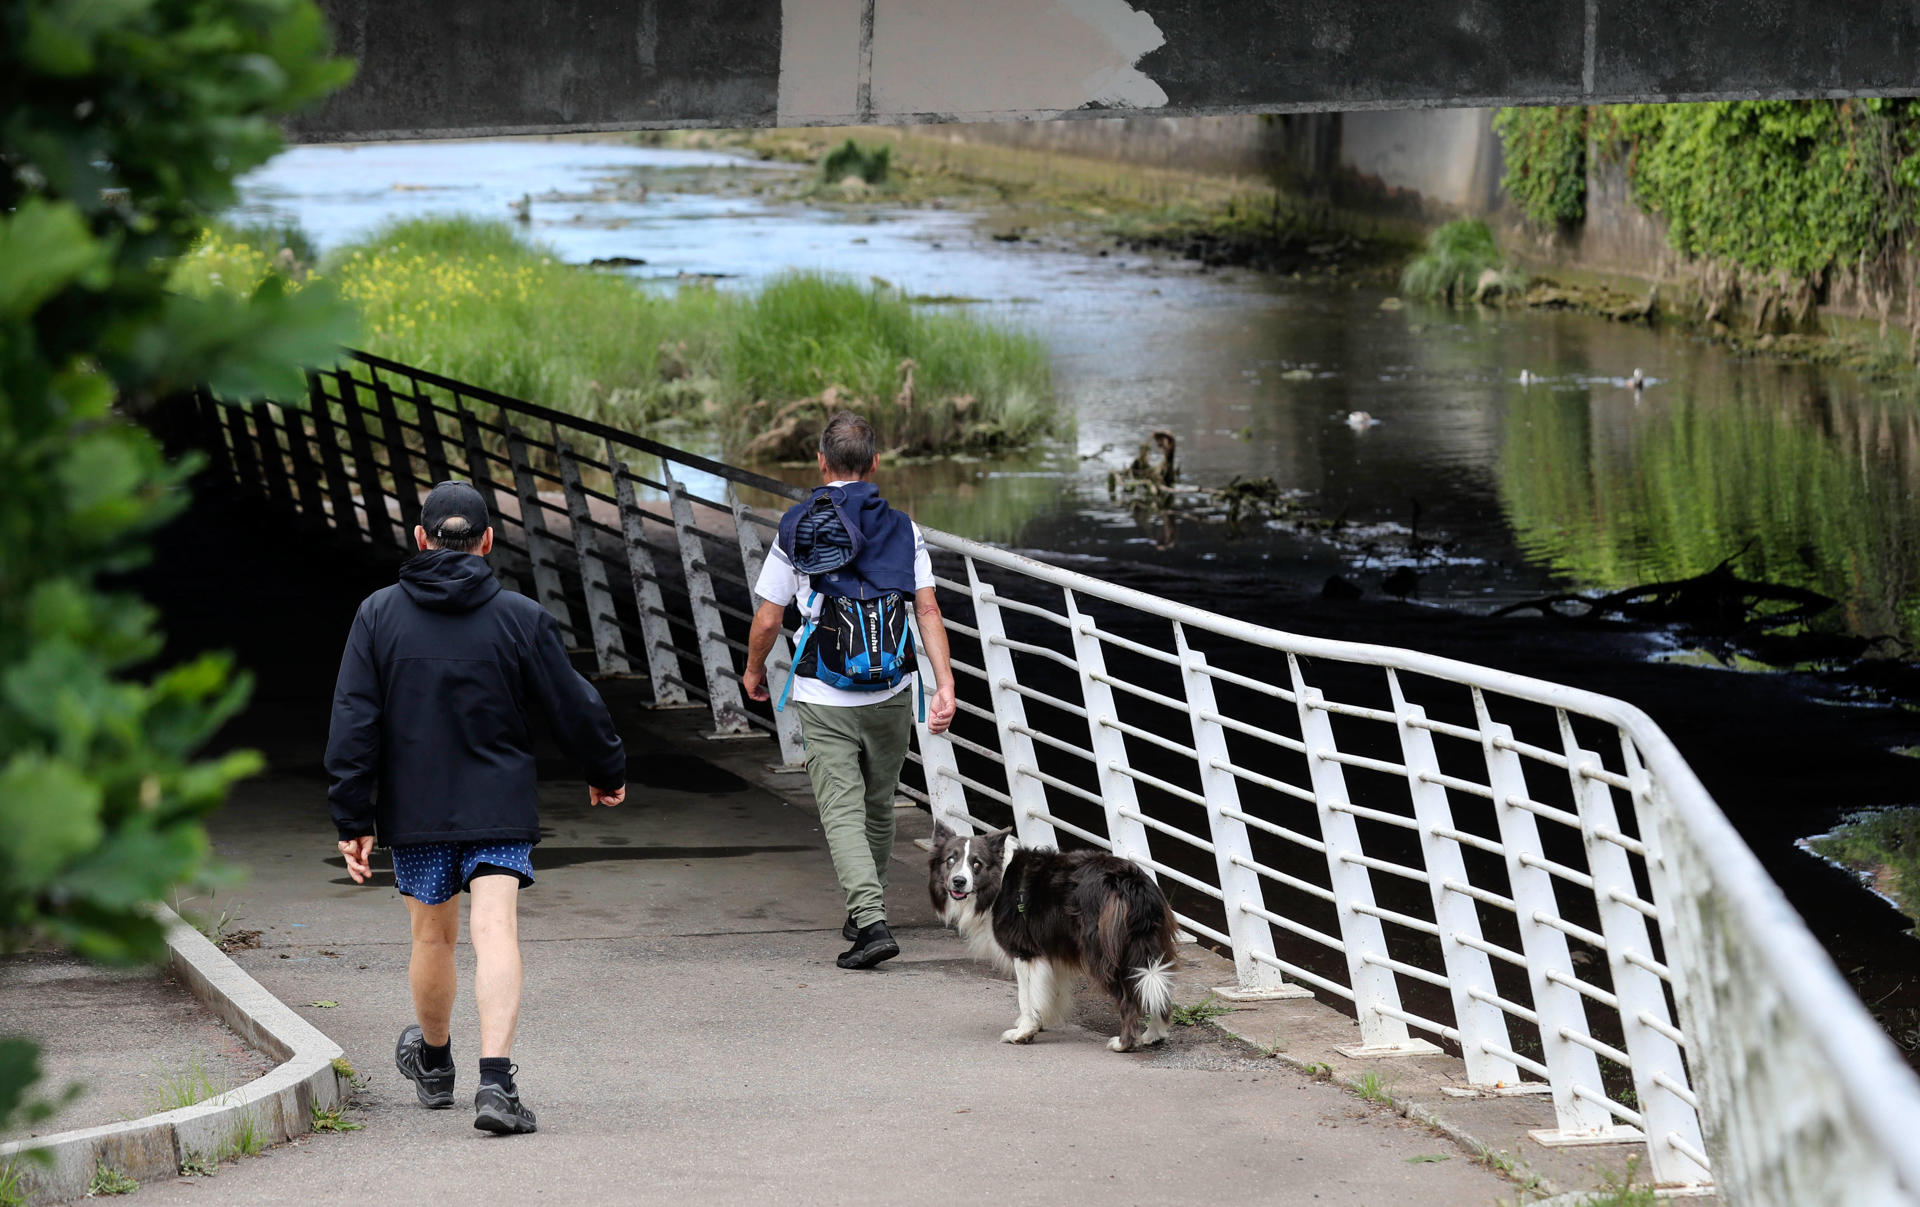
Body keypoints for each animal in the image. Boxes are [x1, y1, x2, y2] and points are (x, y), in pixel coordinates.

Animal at [933, 817, 1182, 1043]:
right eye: (950, 860)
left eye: (977, 864)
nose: (958, 881)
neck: (999, 881)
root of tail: (1131, 882)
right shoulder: (1050, 949)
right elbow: (1047, 991)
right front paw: (1039, 1022)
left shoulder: (1024, 951)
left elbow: (1025, 996)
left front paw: (1023, 1032)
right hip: (1149, 946)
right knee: (1157, 990)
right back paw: (1153, 1035)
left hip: (1104, 952)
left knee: (1129, 996)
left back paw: (1124, 1043)